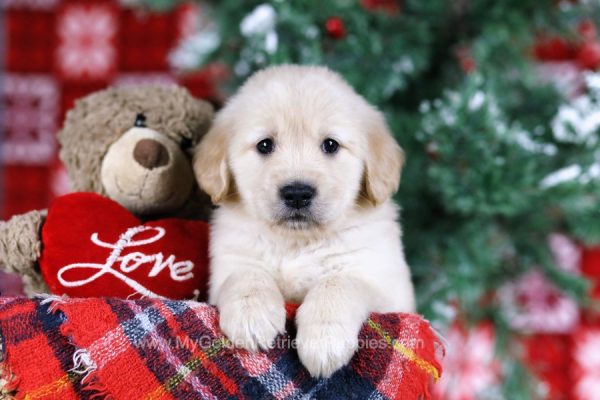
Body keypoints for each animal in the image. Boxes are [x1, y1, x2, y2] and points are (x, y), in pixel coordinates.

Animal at [195, 65, 414, 378]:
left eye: (331, 145)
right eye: (265, 145)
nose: (297, 193)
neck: (296, 242)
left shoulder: (385, 285)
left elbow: (338, 282)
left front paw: (324, 339)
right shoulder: (229, 263)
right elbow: (246, 275)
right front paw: (251, 316)